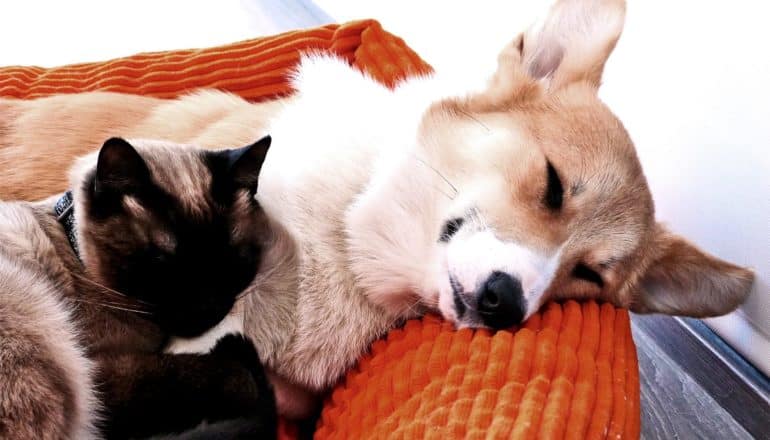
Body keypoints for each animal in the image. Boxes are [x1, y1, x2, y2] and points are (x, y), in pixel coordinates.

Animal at [0, 136, 274, 438]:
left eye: (230, 261)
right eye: (163, 264)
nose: (208, 308)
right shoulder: (102, 371)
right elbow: (235, 376)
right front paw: (239, 356)